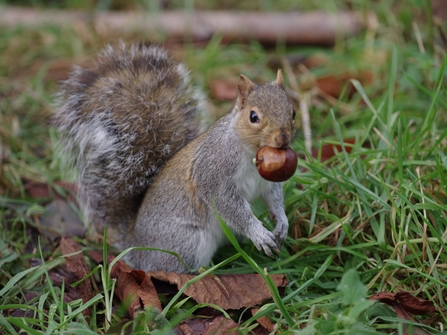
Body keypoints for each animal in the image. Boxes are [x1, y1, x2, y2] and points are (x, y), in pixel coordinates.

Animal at [54, 43, 298, 272]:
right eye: (253, 116)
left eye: (293, 112)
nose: (283, 138)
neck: (251, 153)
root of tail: (138, 248)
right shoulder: (214, 172)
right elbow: (229, 206)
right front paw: (259, 233)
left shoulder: (267, 183)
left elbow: (274, 198)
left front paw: (282, 222)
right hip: (188, 241)